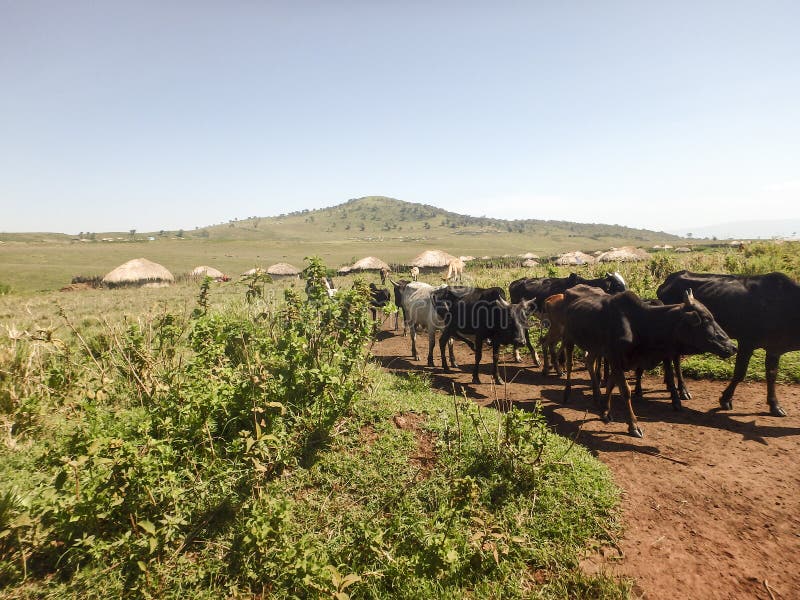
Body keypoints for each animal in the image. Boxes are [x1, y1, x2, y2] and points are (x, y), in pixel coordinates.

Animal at [560, 284, 736, 436]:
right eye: (706, 320)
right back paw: (566, 394)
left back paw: (596, 397)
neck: (639, 323)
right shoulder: (615, 359)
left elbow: (610, 385)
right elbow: (625, 391)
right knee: (569, 364)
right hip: (569, 338)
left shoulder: (617, 361)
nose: (732, 346)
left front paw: (604, 411)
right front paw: (633, 425)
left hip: (594, 347)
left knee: (589, 362)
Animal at [656, 270, 800, 414]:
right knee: (676, 359)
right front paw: (725, 400)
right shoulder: (747, 343)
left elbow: (771, 375)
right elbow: (739, 373)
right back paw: (683, 390)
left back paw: (669, 384)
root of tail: (668, 281)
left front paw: (775, 405)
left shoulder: (774, 348)